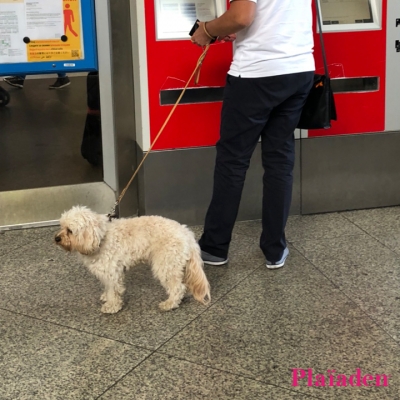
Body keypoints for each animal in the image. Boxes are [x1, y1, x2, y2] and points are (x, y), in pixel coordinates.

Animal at [54, 208, 211, 314]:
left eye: (70, 230)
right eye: (61, 226)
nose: (56, 238)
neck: (101, 237)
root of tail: (186, 233)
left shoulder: (111, 273)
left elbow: (113, 290)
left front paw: (112, 306)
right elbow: (107, 288)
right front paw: (106, 297)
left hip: (165, 264)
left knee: (178, 287)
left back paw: (170, 303)